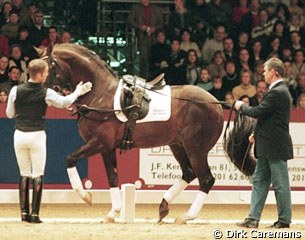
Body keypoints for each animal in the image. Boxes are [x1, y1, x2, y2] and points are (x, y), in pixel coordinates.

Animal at [45, 43, 223, 223]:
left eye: (48, 68)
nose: (44, 92)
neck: (100, 93)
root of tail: (216, 104)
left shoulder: (98, 142)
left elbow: (70, 158)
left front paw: (85, 196)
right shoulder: (106, 147)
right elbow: (113, 177)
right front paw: (113, 213)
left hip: (196, 150)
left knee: (206, 179)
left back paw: (186, 216)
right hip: (178, 146)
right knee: (189, 173)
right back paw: (164, 206)